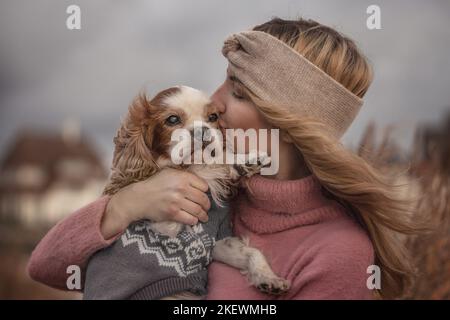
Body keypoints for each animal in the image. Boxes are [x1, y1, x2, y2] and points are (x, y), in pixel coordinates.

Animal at [90, 85, 288, 300]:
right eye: (172, 119)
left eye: (212, 117)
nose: (202, 130)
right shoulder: (166, 225)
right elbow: (206, 167)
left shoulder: (216, 243)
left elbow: (251, 252)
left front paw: (267, 277)